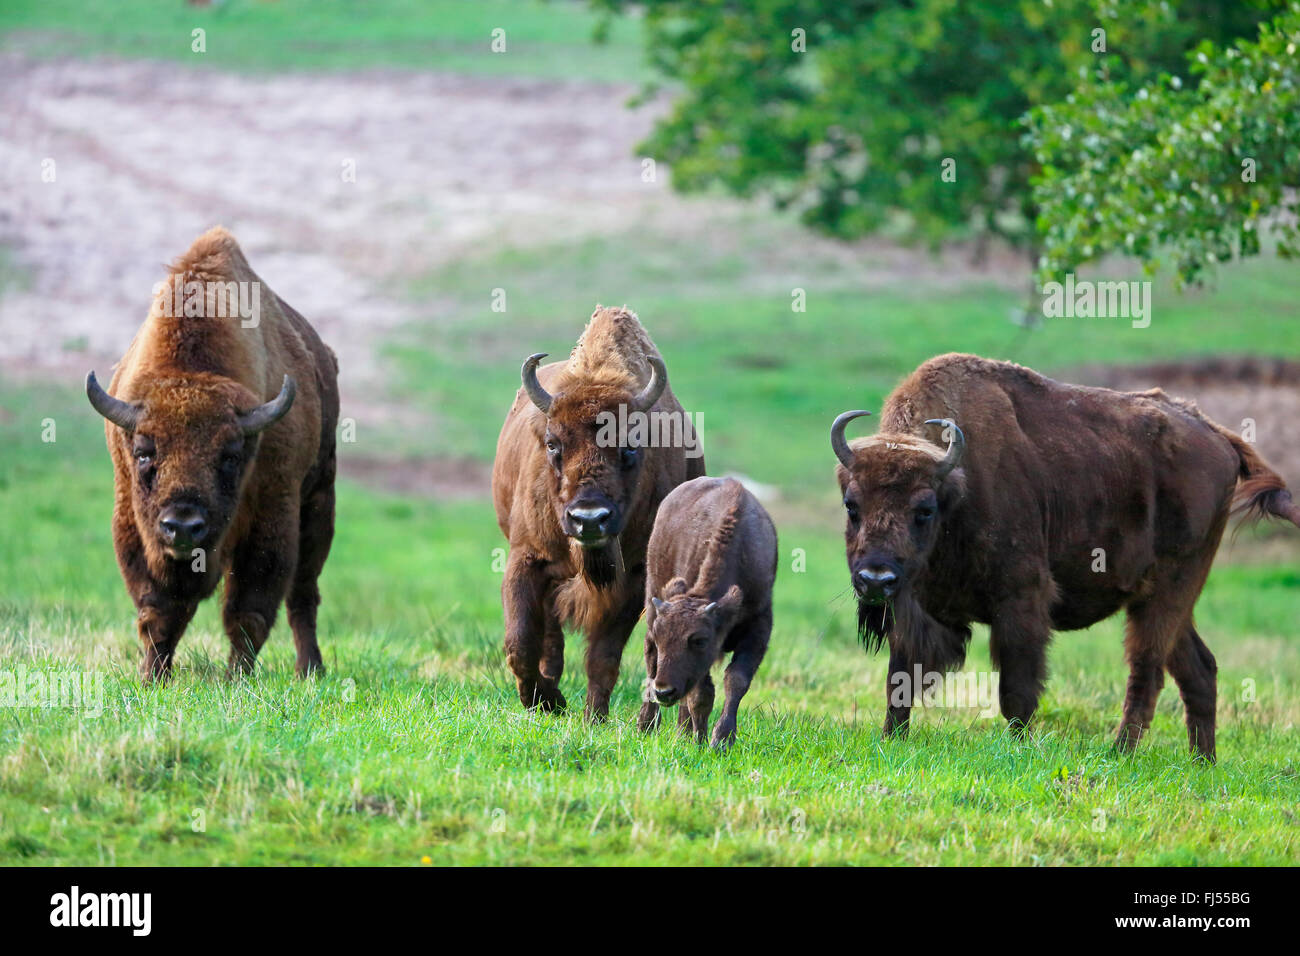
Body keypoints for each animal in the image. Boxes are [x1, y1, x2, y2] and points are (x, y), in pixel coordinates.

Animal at [87, 228, 340, 686]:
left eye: (231, 456)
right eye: (143, 453)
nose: (183, 526)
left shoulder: (271, 518)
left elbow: (249, 611)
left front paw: (236, 679)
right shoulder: (135, 526)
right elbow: (159, 614)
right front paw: (153, 679)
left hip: (319, 501)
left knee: (303, 595)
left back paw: (310, 670)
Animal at [491, 304, 707, 717]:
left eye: (630, 446)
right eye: (553, 443)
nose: (589, 519)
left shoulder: (635, 580)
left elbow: (603, 657)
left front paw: (594, 717)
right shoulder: (526, 560)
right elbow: (520, 644)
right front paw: (545, 701)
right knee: (550, 639)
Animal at [637, 476, 774, 749]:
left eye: (699, 640)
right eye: (660, 638)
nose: (664, 691)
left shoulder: (758, 627)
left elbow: (736, 680)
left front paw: (721, 740)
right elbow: (701, 694)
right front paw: (700, 741)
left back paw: (681, 732)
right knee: (651, 662)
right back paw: (646, 725)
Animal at [832, 351, 1300, 764]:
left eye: (924, 509)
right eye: (851, 505)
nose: (875, 579)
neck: (958, 489)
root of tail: (1218, 436)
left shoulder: (1021, 601)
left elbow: (1017, 691)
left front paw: (1020, 749)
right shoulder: (916, 610)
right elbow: (899, 680)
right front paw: (891, 740)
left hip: (1171, 588)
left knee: (1146, 669)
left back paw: (1120, 755)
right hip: (1163, 599)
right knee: (1198, 669)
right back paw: (1202, 762)